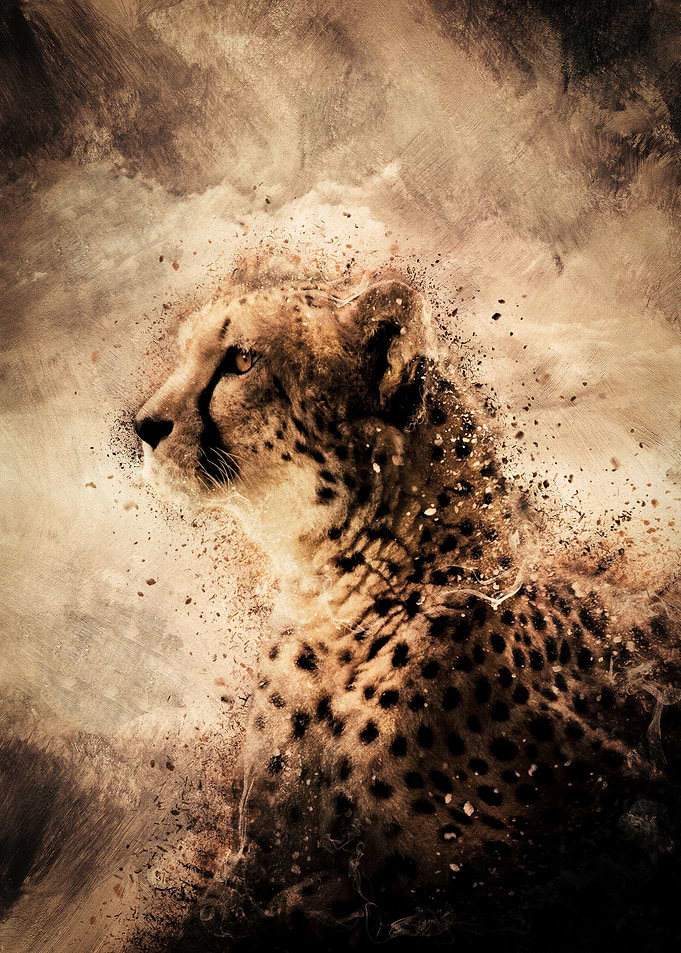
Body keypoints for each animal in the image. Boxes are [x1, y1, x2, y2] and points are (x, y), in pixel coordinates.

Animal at [134, 277, 681, 950]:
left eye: (241, 359)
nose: (144, 426)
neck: (339, 594)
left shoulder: (587, 826)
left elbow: (327, 900)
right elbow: (236, 892)